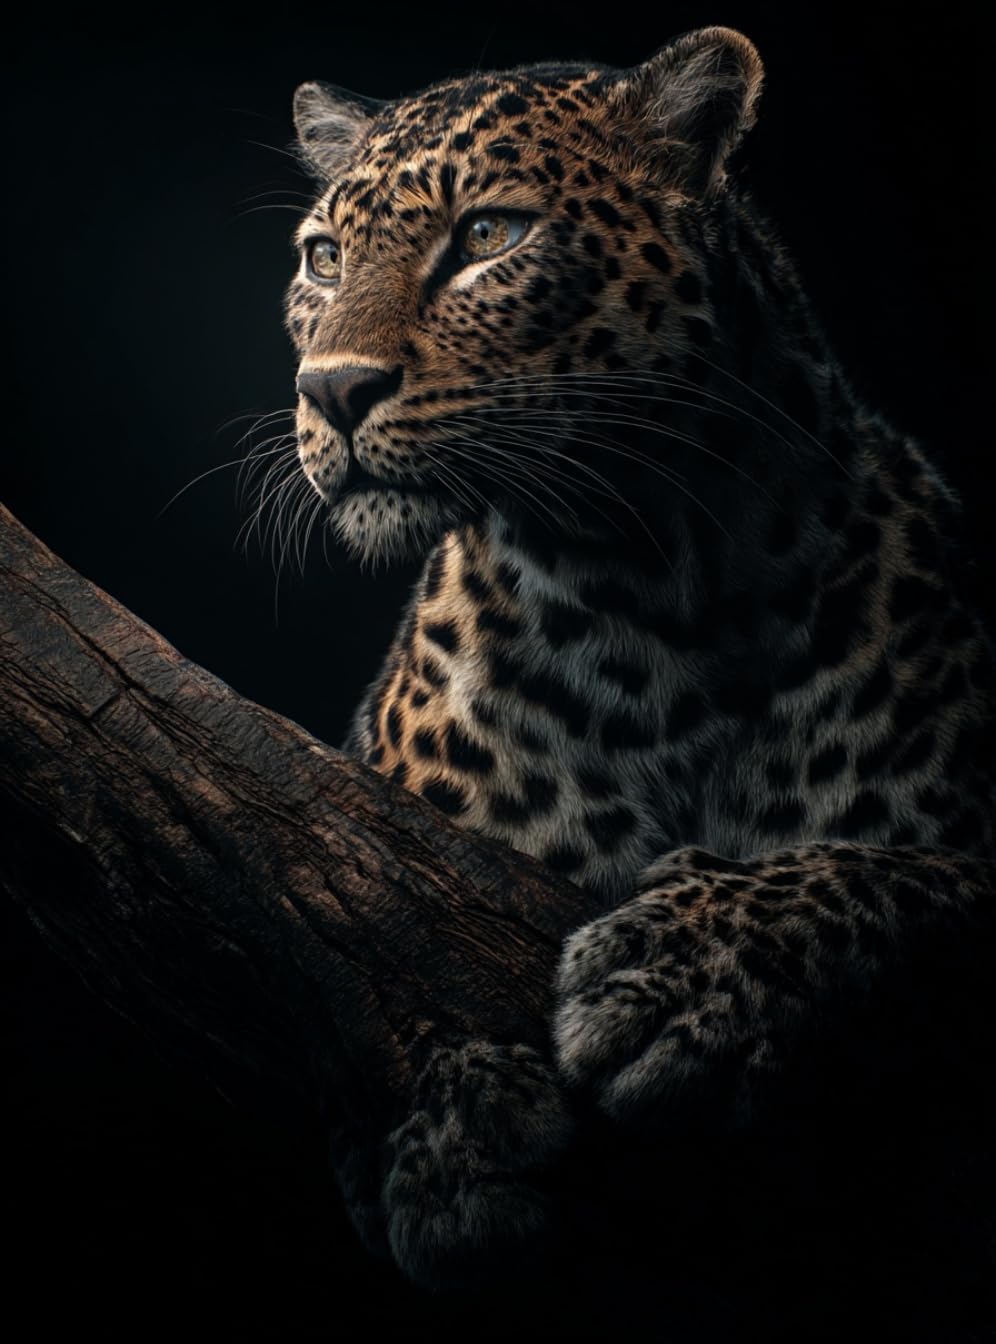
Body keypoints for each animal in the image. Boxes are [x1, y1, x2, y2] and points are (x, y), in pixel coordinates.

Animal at [284, 25, 995, 1327]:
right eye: (323, 257)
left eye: (488, 236)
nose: (331, 390)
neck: (659, 594)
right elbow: (368, 948)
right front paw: (449, 1126)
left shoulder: (965, 853)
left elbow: (888, 875)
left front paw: (678, 970)